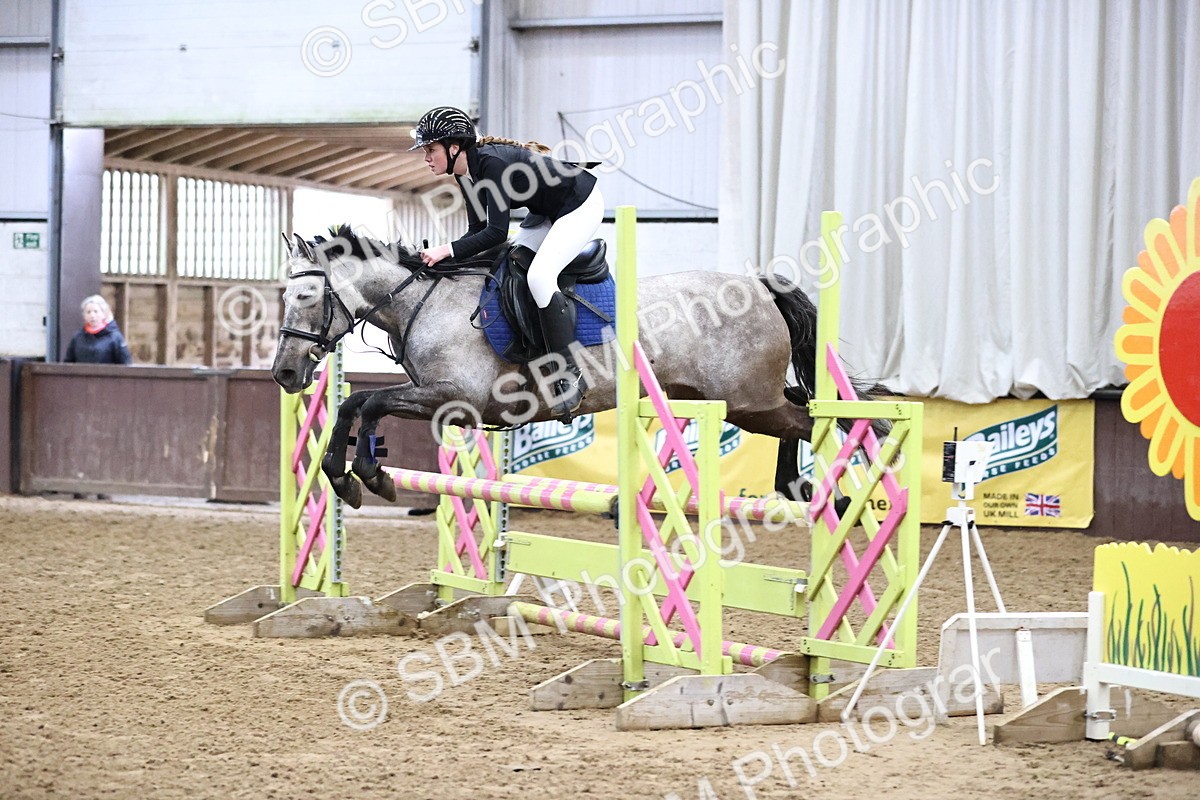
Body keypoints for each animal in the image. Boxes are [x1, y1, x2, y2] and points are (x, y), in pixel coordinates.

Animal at [270, 228, 883, 508]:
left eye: (305, 296)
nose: (284, 374)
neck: (423, 301)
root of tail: (758, 285)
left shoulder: (457, 397)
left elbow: (370, 401)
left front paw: (368, 477)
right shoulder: (441, 399)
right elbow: (355, 403)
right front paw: (345, 476)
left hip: (747, 399)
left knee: (812, 418)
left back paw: (831, 488)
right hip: (742, 400)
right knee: (803, 414)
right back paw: (801, 488)